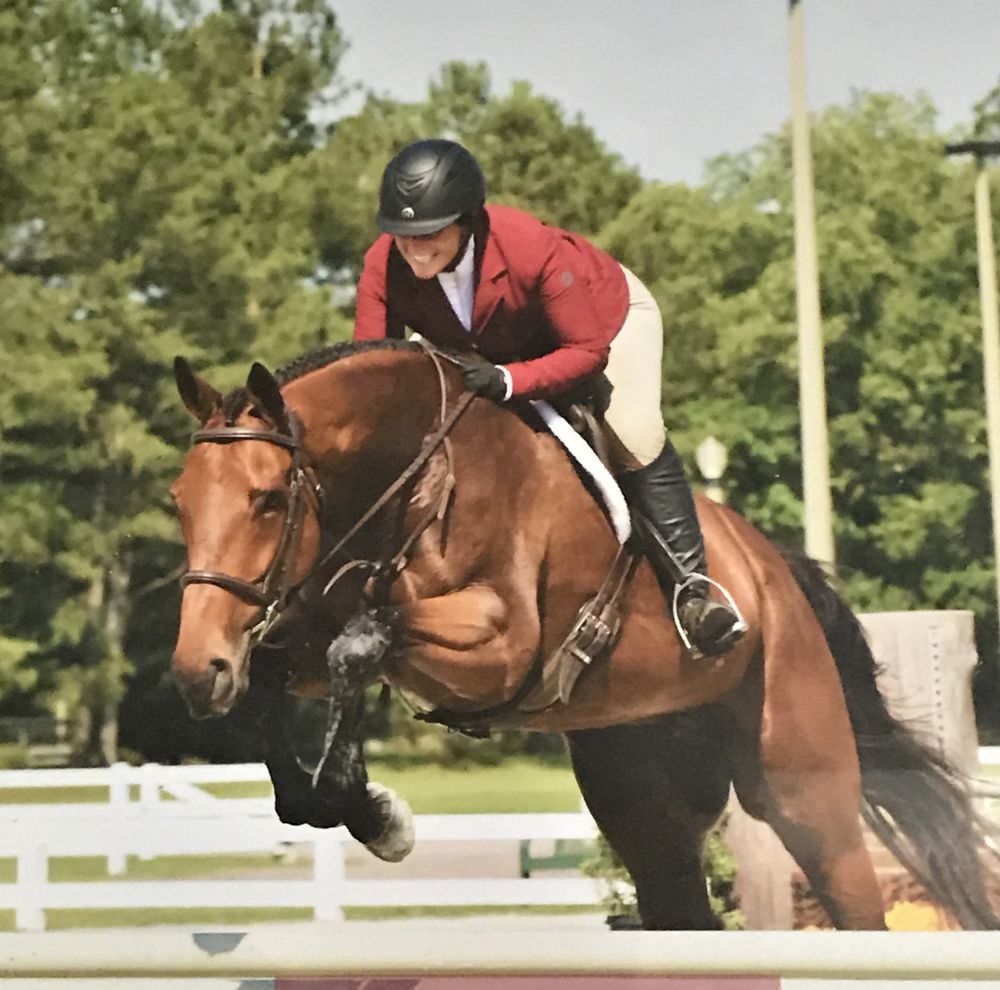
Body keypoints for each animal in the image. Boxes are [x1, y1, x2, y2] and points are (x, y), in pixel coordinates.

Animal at [169, 339, 1000, 930]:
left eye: (268, 499)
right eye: (179, 500)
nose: (194, 672)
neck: (414, 477)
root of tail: (777, 572)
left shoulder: (498, 648)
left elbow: (361, 644)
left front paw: (377, 817)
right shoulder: (307, 631)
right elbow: (291, 668)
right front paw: (332, 800)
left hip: (802, 787)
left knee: (850, 894)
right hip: (645, 798)